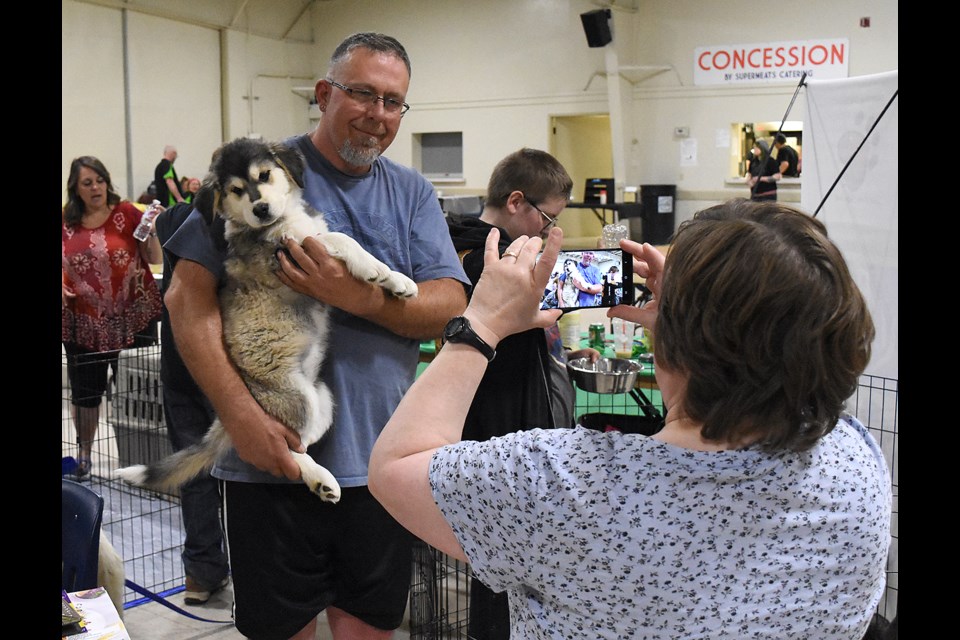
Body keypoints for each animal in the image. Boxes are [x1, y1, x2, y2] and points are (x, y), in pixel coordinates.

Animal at [116, 138, 416, 502]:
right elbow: (341, 239)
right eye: (235, 190)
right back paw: (320, 479)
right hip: (296, 400)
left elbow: (340, 239)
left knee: (301, 442)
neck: (284, 219)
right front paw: (372, 267)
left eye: (264, 175)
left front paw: (398, 281)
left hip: (322, 398)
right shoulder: (290, 252)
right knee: (287, 448)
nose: (260, 209)